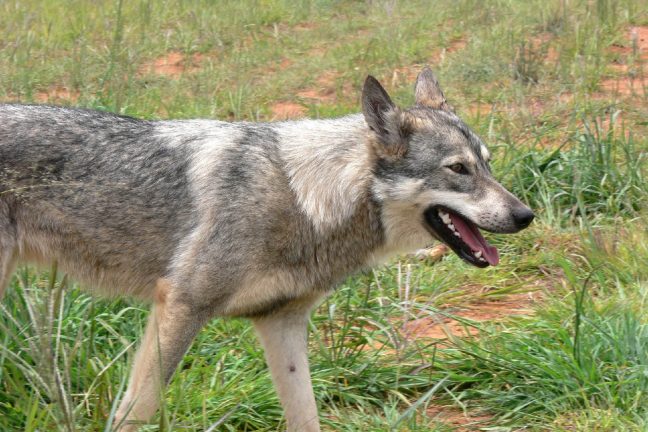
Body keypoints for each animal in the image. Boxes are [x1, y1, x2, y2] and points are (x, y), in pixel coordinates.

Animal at [0, 69, 536, 430]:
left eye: (488, 164)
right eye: (459, 169)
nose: (525, 215)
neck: (304, 198)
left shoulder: (281, 323)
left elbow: (307, 417)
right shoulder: (181, 306)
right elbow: (137, 411)